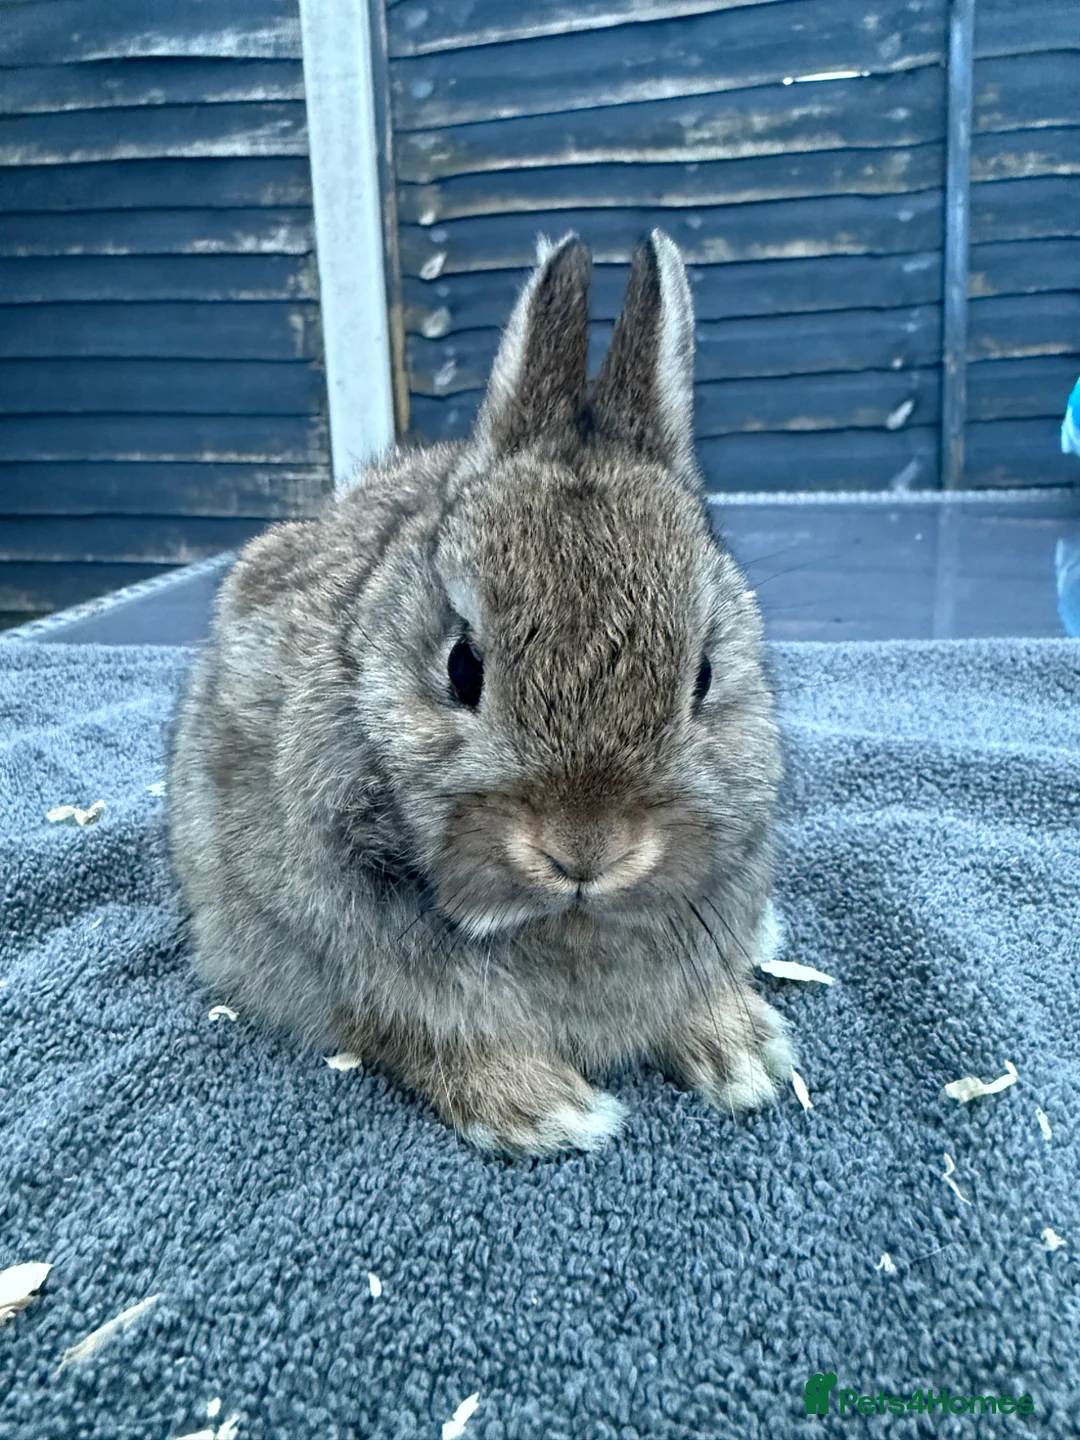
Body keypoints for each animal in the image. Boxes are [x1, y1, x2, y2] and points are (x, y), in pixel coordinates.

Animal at [168, 230, 794, 1157]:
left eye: (706, 676)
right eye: (463, 667)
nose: (584, 850)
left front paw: (743, 1053)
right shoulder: (346, 956)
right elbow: (418, 1031)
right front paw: (546, 1110)